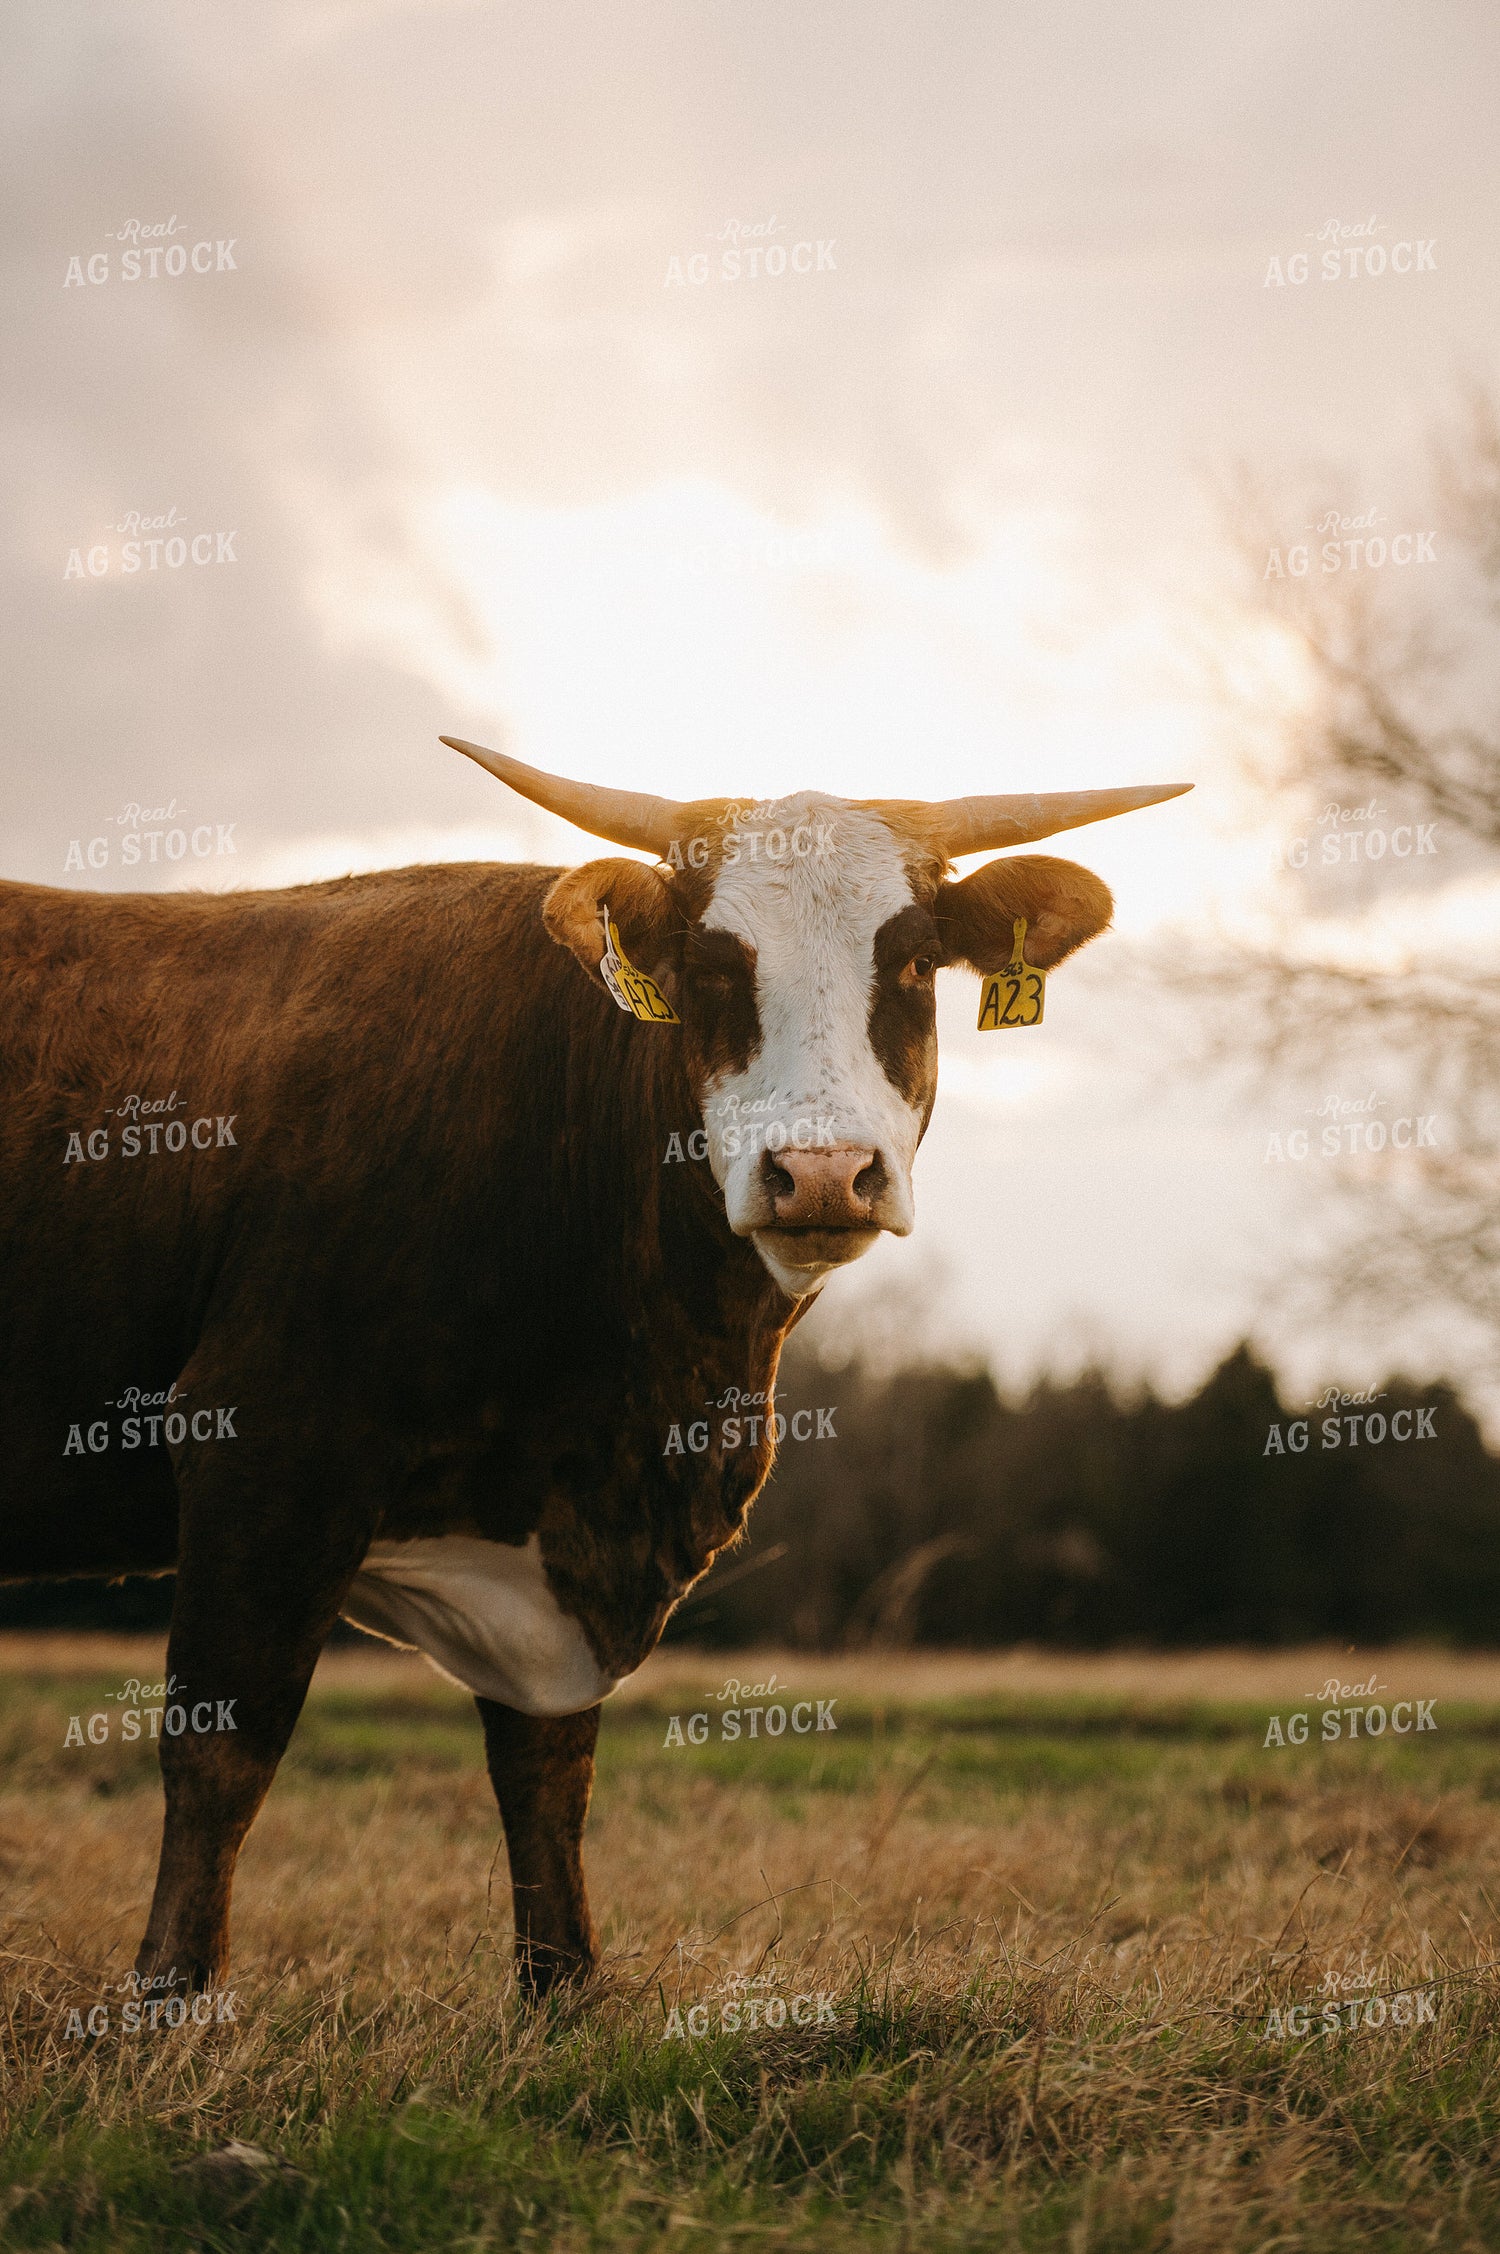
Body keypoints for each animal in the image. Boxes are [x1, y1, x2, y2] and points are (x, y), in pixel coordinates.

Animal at [0, 743, 1187, 1998]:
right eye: (711, 967)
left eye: (913, 962)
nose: (821, 1173)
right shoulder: (265, 1447)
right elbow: (222, 1752)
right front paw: (166, 2004)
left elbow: (548, 1775)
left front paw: (562, 1993)